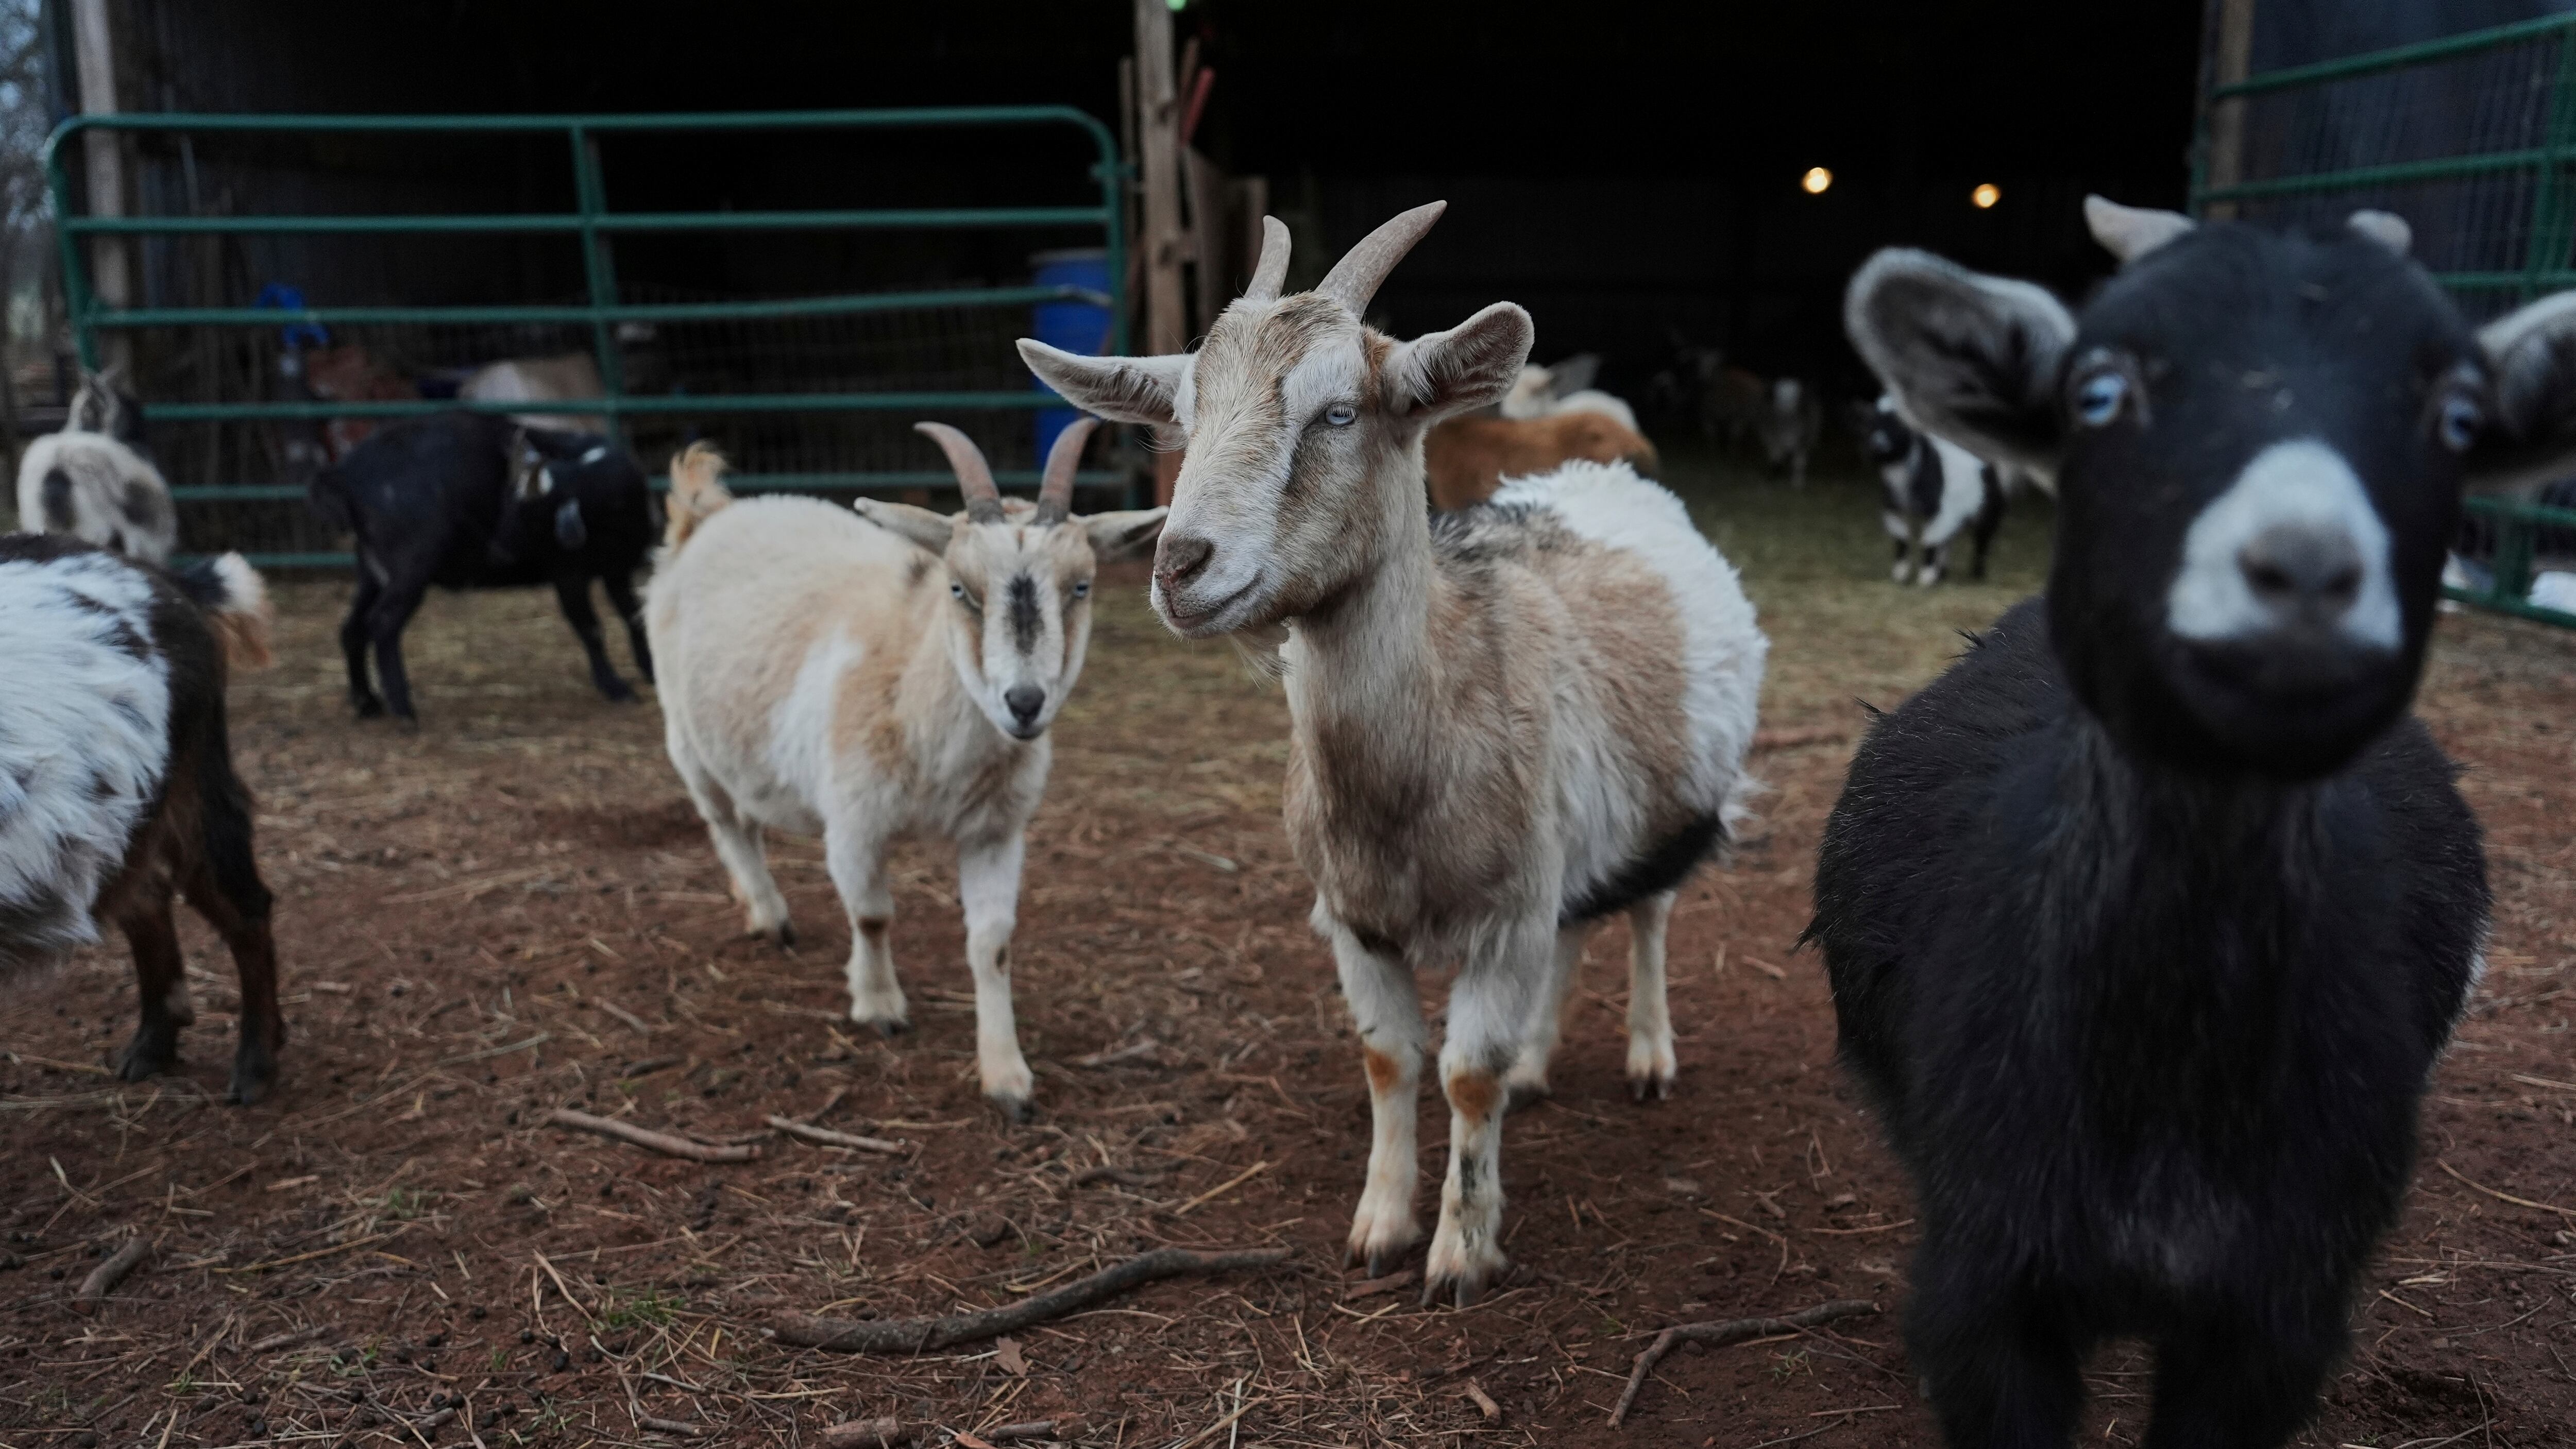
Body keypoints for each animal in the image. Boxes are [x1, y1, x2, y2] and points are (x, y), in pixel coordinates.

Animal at [0, 537, 283, 1103]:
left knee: (244, 905)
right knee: (143, 890)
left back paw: (255, 1065)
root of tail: (166, 578)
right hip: (119, 817)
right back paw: (154, 1043)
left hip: (196, 776)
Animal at [308, 411, 655, 724]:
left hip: (372, 570)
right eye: (508, 503)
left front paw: (650, 670)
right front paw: (615, 687)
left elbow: (634, 617)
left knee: (352, 628)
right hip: (411, 568)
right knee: (383, 624)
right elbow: (591, 629)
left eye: (533, 512)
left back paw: (366, 703)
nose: (499, 553)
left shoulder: (618, 570)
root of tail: (344, 474)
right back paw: (403, 708)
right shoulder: (569, 575)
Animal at [645, 425, 1164, 1122]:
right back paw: (769, 915)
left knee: (746, 816)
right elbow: (871, 915)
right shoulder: (854, 821)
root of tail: (702, 517)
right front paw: (879, 1005)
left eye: (1081, 587)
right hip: (685, 733)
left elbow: (992, 944)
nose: (1024, 703)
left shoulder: (995, 832)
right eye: (958, 588)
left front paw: (1006, 1075)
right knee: (724, 820)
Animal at [1855, 395, 2006, 585]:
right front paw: (1901, 574)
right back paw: (1942, 573)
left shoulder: (1938, 511)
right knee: (1949, 539)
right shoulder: (1894, 508)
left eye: (1899, 425)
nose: (1877, 445)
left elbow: (1930, 541)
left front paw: (1925, 577)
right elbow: (1902, 539)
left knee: (1982, 540)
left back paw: (1977, 574)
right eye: (1872, 424)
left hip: (1988, 508)